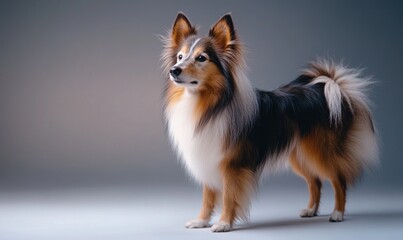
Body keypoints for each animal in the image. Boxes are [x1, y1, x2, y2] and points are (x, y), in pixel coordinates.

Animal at [161, 13, 378, 232]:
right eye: (180, 57)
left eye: (201, 58)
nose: (174, 70)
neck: (209, 104)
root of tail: (329, 88)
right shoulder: (208, 157)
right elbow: (207, 196)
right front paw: (201, 221)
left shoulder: (232, 165)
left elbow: (229, 196)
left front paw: (223, 223)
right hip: (299, 155)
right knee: (315, 181)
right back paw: (310, 210)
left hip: (321, 152)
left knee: (339, 180)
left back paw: (337, 214)